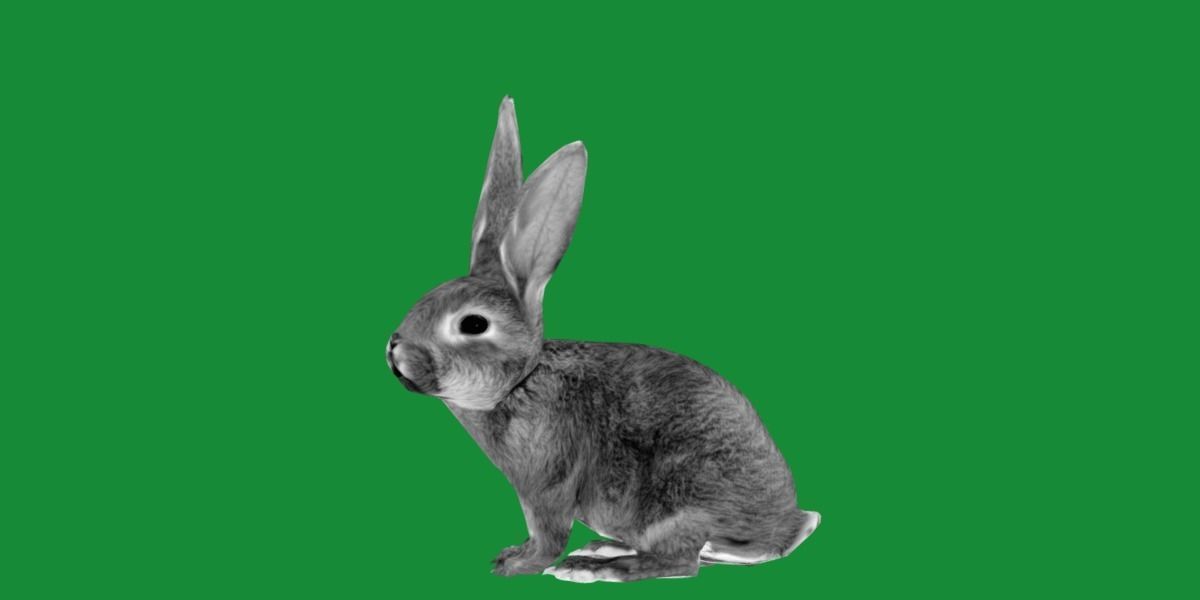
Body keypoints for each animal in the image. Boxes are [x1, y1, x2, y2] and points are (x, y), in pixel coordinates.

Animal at [386, 97, 820, 583]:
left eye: (473, 325)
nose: (395, 348)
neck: (520, 384)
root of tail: (782, 530)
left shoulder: (548, 486)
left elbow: (548, 535)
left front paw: (517, 564)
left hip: (677, 505)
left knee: (681, 561)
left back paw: (597, 567)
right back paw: (602, 548)